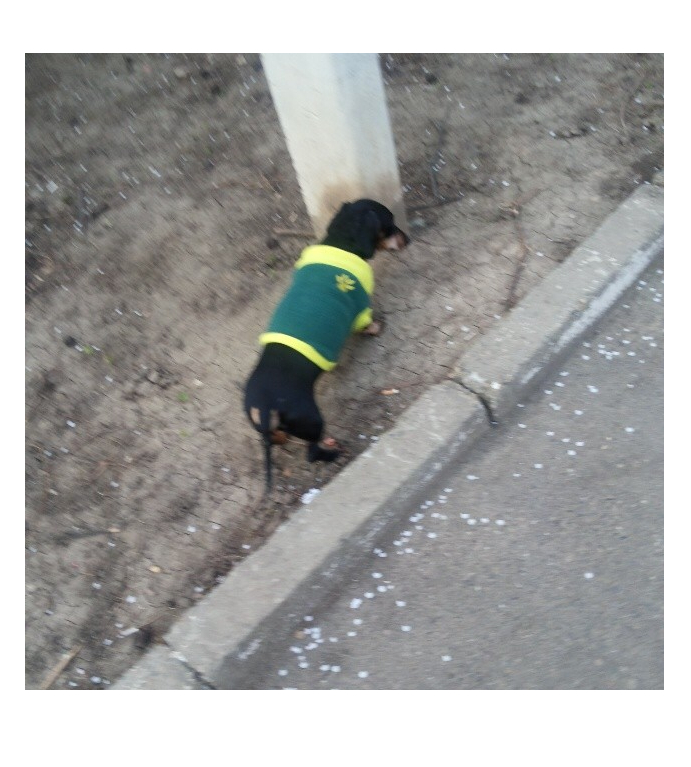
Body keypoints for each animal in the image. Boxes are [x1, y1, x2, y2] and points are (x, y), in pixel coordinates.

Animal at [244, 199, 410, 492]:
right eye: (390, 224)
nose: (408, 240)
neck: (341, 243)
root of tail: (264, 407)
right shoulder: (359, 307)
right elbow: (367, 323)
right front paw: (377, 328)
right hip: (312, 419)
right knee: (311, 453)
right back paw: (334, 450)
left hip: (269, 426)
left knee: (274, 438)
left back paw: (284, 439)